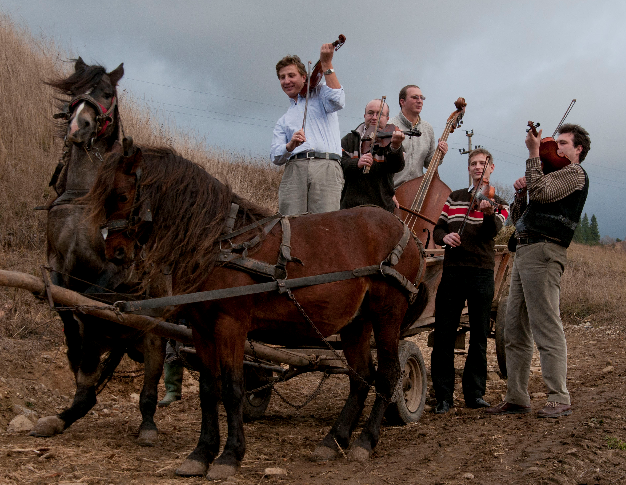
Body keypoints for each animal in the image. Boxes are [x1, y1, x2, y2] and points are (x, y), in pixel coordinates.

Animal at [31, 58, 165, 444]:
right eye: (75, 92)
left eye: (106, 92)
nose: (79, 127)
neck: (85, 197)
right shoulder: (56, 262)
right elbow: (65, 306)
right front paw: (74, 353)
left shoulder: (116, 267)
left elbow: (90, 300)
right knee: (89, 387)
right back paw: (63, 413)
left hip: (154, 332)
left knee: (151, 378)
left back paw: (147, 423)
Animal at [84, 148, 424, 480]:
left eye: (122, 196)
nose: (114, 252)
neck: (220, 243)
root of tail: (406, 231)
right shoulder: (201, 328)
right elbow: (209, 388)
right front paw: (201, 454)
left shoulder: (231, 326)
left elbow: (232, 389)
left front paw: (229, 456)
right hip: (356, 322)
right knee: (360, 376)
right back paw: (334, 440)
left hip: (387, 314)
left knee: (388, 374)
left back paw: (365, 441)